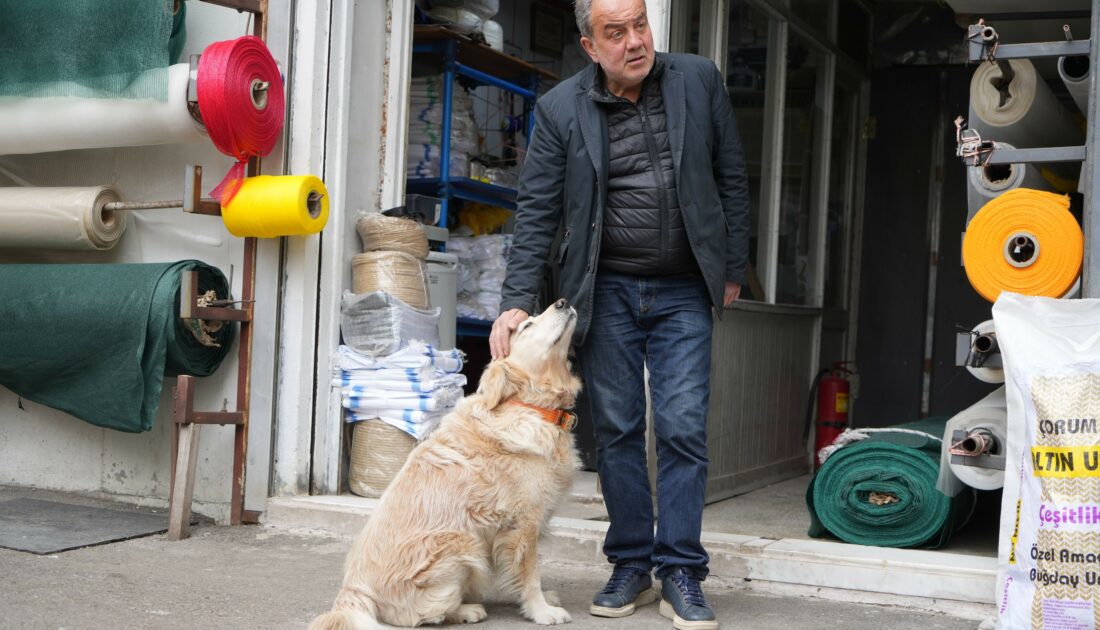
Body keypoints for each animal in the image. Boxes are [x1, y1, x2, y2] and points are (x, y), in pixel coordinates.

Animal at [310, 296, 585, 624]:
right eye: (527, 326)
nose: (563, 301)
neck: (529, 406)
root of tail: (351, 593)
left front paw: (543, 599)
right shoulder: (523, 523)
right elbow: (529, 573)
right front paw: (541, 610)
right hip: (463, 542)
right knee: (421, 615)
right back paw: (468, 610)